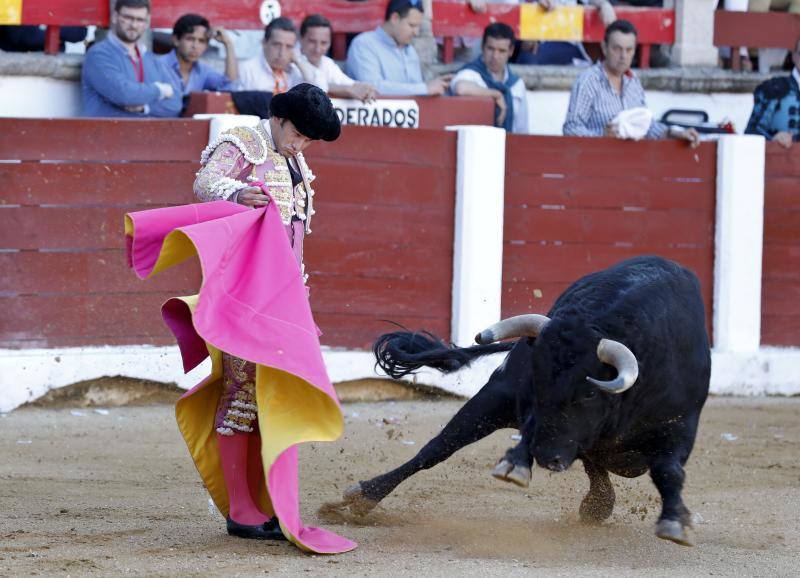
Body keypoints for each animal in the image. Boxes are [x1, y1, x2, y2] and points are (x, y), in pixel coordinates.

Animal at [340, 255, 708, 544]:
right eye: (537, 379)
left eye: (590, 391)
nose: (548, 457)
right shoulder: (522, 396)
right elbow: (527, 429)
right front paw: (516, 463)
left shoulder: (679, 428)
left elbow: (669, 471)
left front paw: (674, 522)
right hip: (494, 397)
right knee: (437, 447)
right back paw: (366, 495)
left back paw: (596, 504)